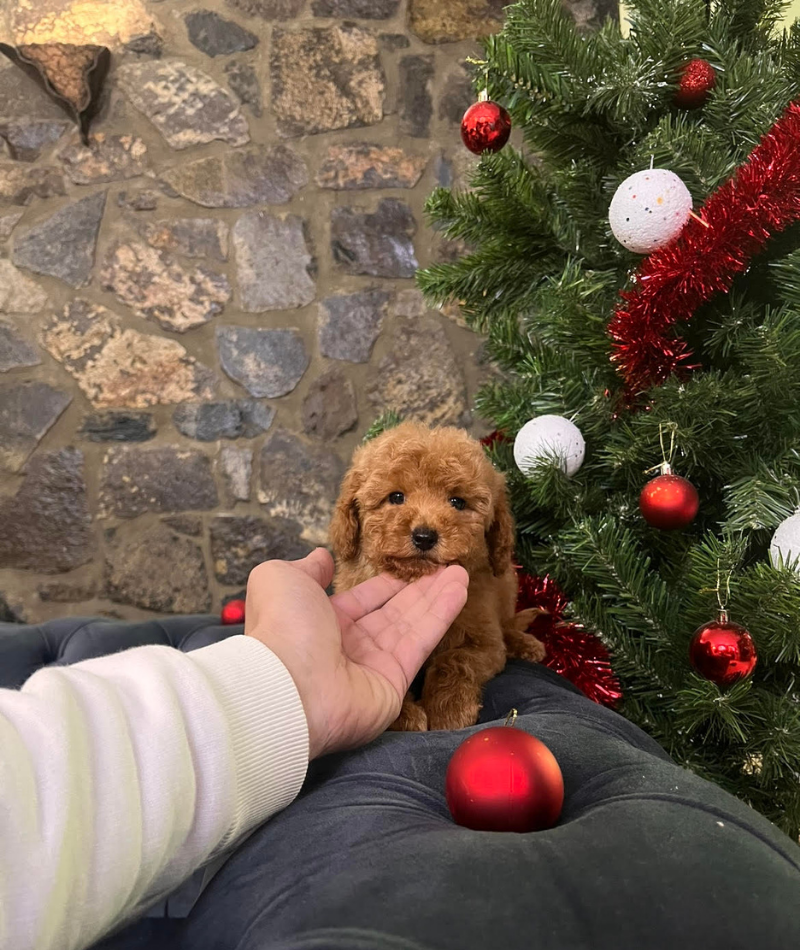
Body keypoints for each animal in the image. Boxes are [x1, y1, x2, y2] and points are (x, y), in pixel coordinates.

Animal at [329, 420, 546, 732]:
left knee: (507, 625)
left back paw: (525, 643)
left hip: (506, 583)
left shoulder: (485, 641)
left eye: (457, 502)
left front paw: (449, 711)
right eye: (396, 497)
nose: (424, 536)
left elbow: (455, 659)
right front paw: (405, 717)